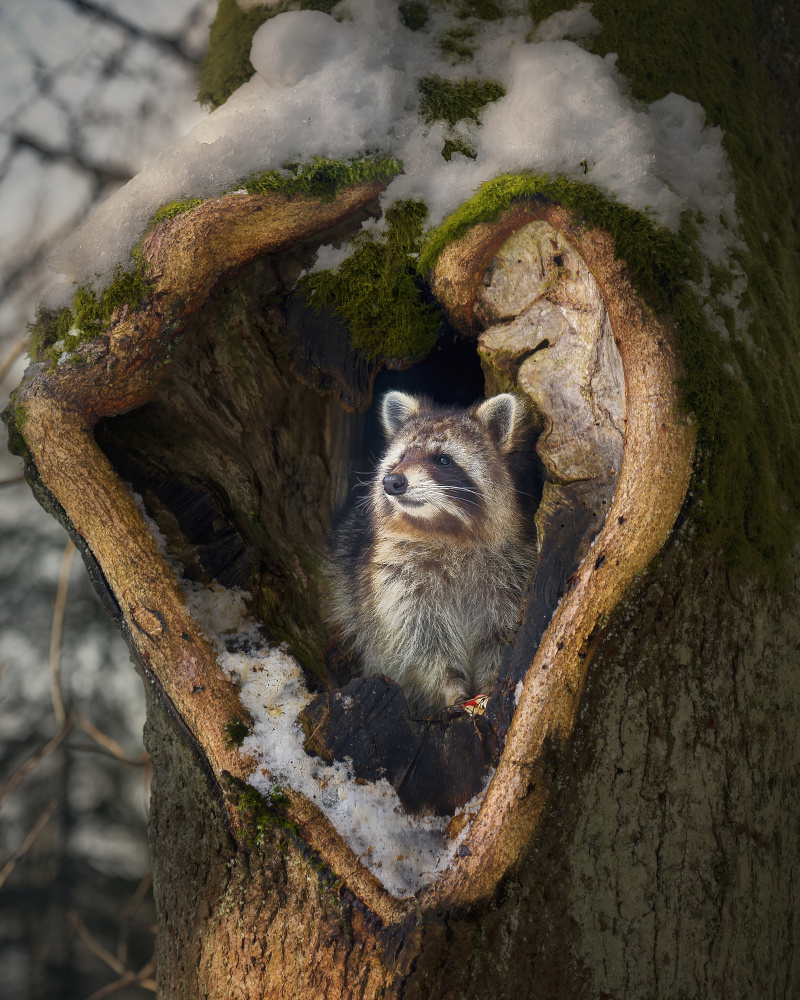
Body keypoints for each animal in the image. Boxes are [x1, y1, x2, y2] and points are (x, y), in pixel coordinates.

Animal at [327, 391, 539, 717]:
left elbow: (499, 633)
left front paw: (491, 682)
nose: (393, 482)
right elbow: (421, 642)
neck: (443, 528)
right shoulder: (397, 580)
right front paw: (450, 687)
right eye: (401, 457)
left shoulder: (512, 569)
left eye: (442, 459)